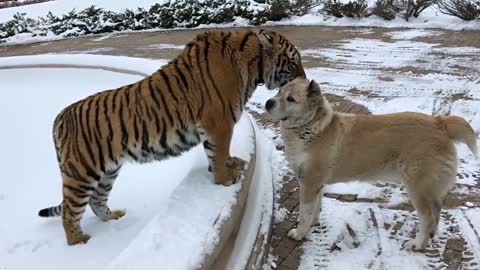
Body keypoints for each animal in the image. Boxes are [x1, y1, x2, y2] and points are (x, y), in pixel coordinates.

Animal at [39, 29, 306, 245]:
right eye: (293, 62)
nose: (305, 79)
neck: (252, 65)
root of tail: (59, 118)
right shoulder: (219, 122)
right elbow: (219, 152)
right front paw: (224, 179)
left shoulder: (213, 127)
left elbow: (216, 152)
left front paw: (230, 164)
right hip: (81, 173)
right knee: (69, 211)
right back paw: (79, 242)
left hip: (108, 171)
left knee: (96, 201)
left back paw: (113, 217)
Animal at [264, 77, 478, 251]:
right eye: (279, 92)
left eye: (291, 99)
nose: (267, 102)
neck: (311, 127)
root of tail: (439, 122)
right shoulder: (317, 185)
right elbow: (316, 208)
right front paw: (313, 225)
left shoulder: (309, 183)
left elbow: (304, 213)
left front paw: (300, 233)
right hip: (429, 187)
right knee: (438, 207)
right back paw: (432, 235)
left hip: (417, 186)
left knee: (428, 216)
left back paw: (418, 244)